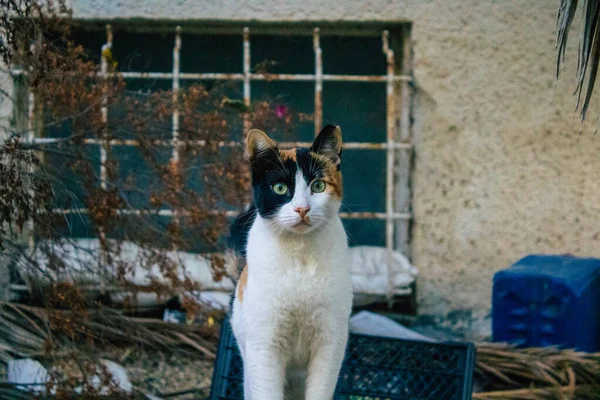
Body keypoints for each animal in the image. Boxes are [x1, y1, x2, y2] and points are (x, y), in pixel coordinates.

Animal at [229, 125, 352, 400]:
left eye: (318, 185)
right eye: (280, 188)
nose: (302, 209)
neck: (300, 253)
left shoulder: (330, 342)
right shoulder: (264, 346)